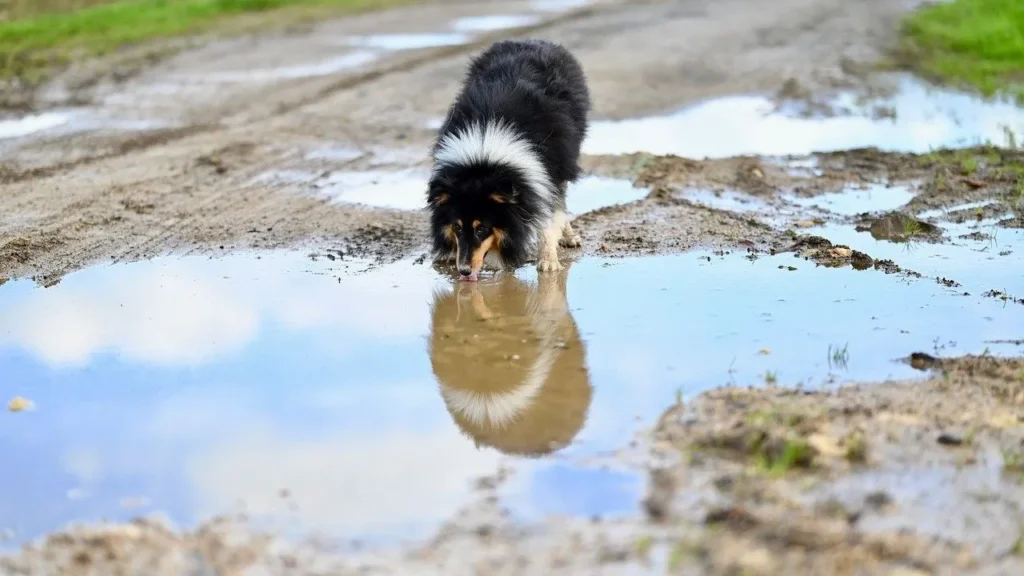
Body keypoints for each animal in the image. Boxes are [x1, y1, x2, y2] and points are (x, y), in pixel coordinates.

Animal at [425, 38, 593, 280]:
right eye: (456, 227)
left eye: (482, 229)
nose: (464, 271)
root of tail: (532, 40)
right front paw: (446, 253)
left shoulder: (548, 168)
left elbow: (549, 213)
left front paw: (548, 262)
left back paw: (569, 238)